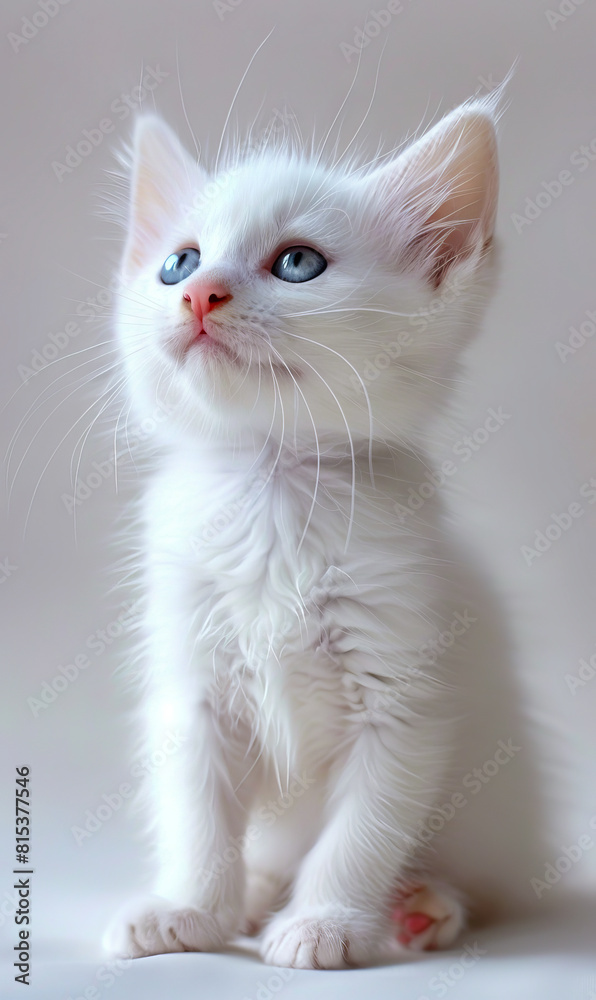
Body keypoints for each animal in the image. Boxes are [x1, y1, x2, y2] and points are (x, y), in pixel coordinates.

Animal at [105, 95, 500, 968]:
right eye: (179, 263)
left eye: (297, 264)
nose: (199, 295)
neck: (274, 487)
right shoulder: (194, 684)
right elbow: (198, 813)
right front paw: (191, 910)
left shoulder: (402, 695)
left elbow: (362, 829)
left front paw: (327, 923)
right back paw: (255, 895)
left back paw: (419, 909)